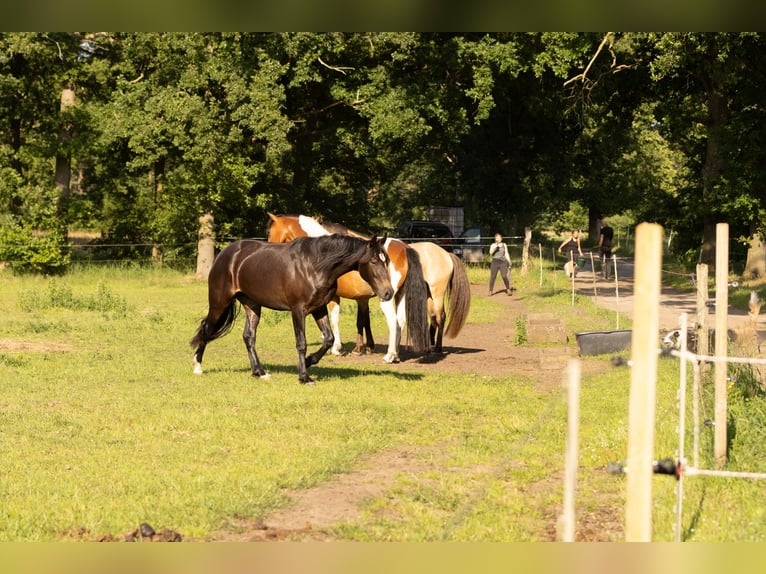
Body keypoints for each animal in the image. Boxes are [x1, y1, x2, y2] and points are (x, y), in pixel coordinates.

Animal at [190, 234, 394, 384]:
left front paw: (310, 361)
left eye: (386, 261)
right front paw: (304, 376)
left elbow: (328, 339)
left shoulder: (319, 308)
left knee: (248, 337)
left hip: (253, 305)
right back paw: (197, 366)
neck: (314, 266)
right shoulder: (298, 310)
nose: (388, 293)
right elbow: (301, 343)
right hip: (219, 302)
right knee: (207, 330)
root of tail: (225, 254)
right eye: (374, 261)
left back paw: (260, 372)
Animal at [266, 213, 471, 362]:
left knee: (415, 319)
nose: (269, 248)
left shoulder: (333, 298)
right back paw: (400, 354)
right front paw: (360, 348)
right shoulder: (361, 298)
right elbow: (361, 321)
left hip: (411, 297)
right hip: (405, 295)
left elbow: (335, 320)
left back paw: (393, 355)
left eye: (270, 232)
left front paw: (337, 348)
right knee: (404, 321)